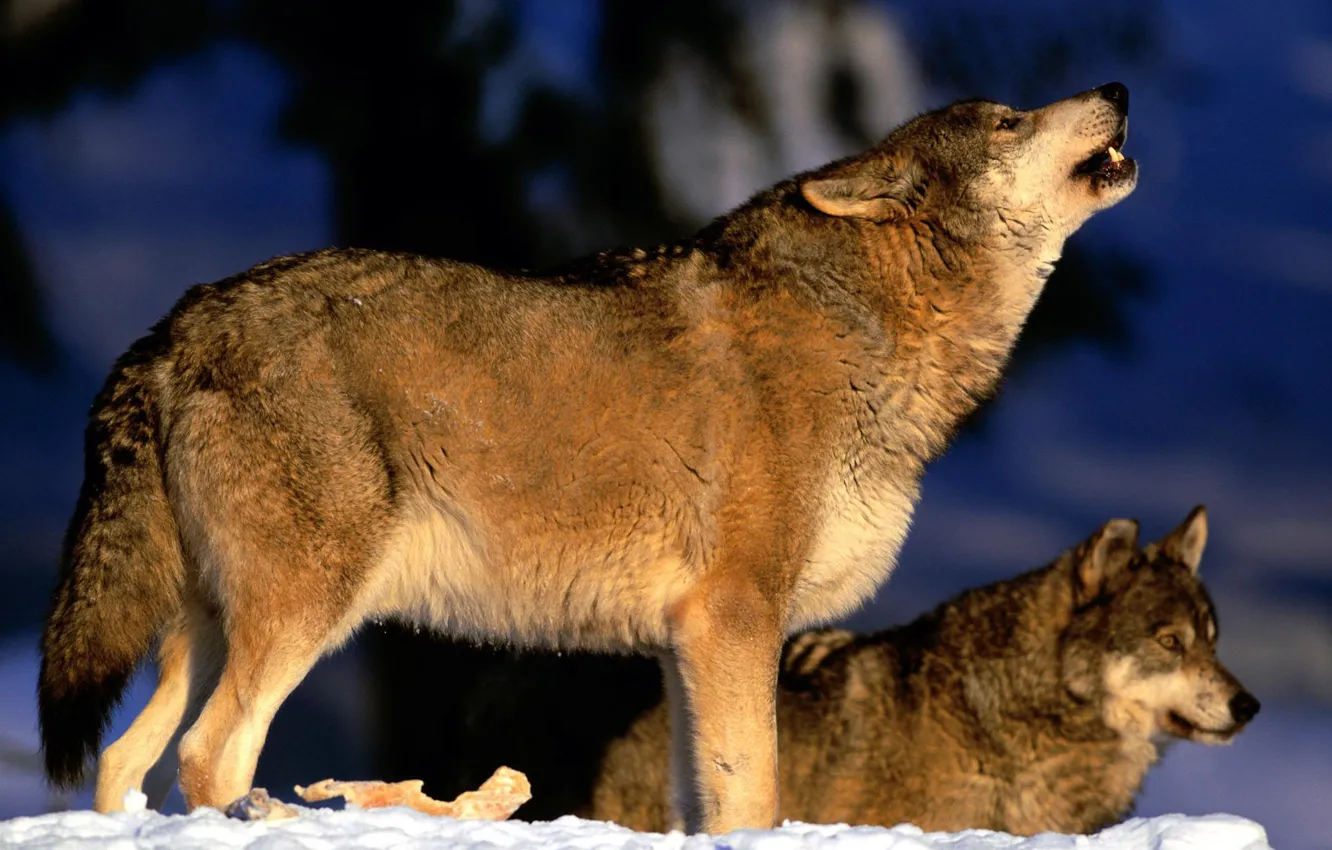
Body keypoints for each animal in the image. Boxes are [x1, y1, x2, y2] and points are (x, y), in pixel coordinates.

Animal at [39, 83, 1137, 833]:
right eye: (1006, 121)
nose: (1118, 91)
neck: (870, 333)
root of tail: (174, 326)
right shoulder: (737, 616)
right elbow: (757, 793)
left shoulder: (684, 644)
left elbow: (705, 801)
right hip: (303, 617)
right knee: (209, 756)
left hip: (207, 630)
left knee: (125, 760)